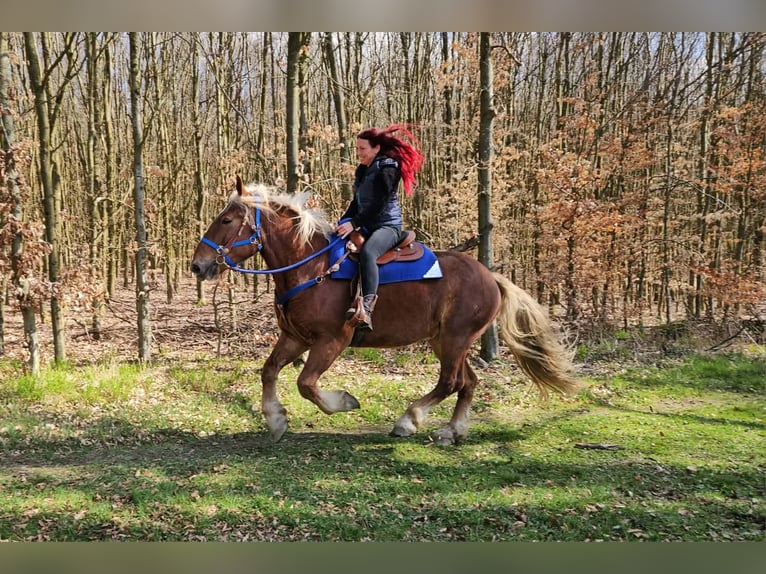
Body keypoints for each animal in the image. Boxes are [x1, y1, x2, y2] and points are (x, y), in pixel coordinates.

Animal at [190, 177, 580, 445]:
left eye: (226, 221)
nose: (198, 265)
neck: (311, 266)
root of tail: (492, 277)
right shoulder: (295, 338)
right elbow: (269, 371)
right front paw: (275, 419)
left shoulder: (331, 341)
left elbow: (306, 384)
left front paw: (344, 402)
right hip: (445, 340)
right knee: (468, 382)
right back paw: (451, 431)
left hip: (456, 338)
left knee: (450, 381)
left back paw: (409, 419)